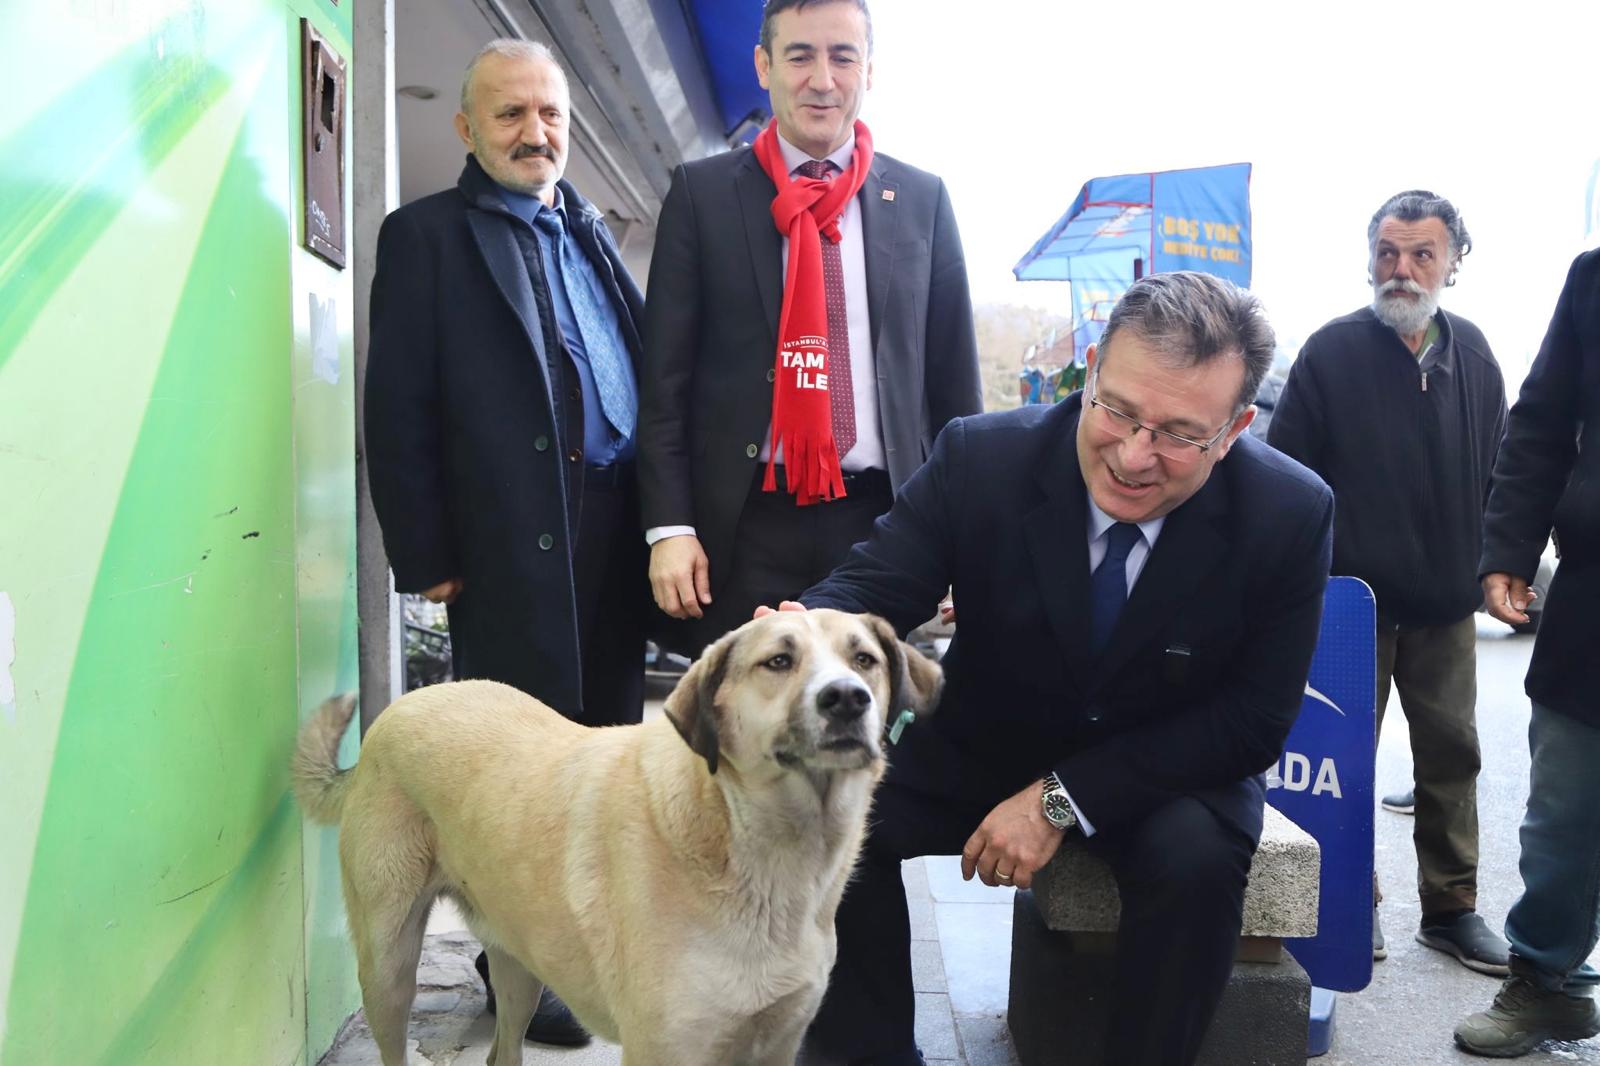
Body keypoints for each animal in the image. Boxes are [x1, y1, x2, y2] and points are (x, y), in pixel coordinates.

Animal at [291, 605, 934, 1062]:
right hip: (388, 967)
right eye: (778, 661)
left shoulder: (776, 1043)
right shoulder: (668, 1048)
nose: (847, 698)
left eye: (865, 659)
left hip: (520, 967)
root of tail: (398, 710)